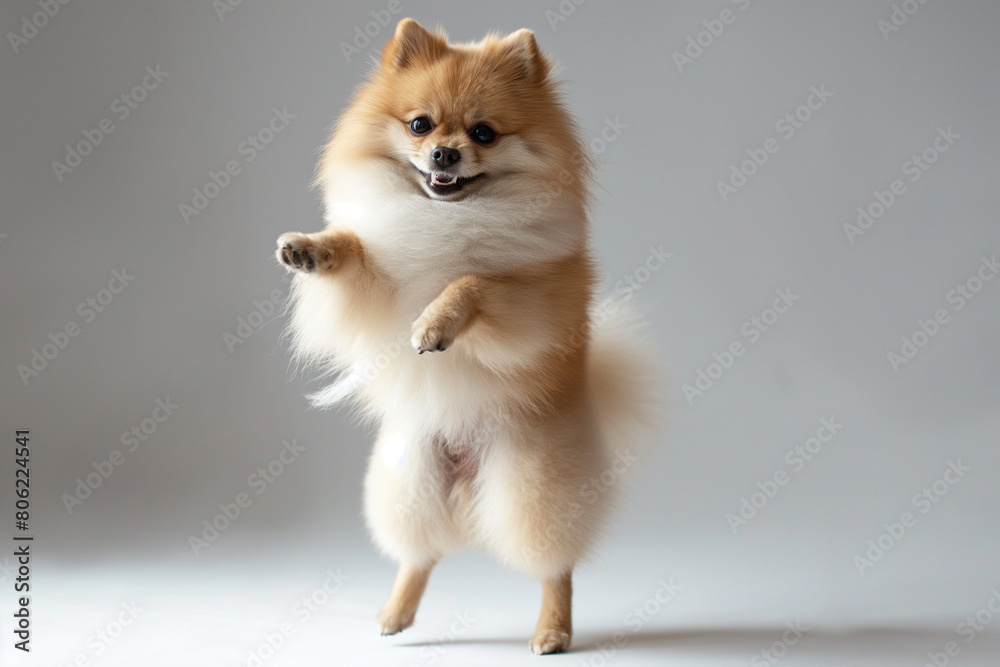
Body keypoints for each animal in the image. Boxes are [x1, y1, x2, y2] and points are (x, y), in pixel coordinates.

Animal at [278, 18, 656, 656]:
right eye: (420, 124)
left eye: (483, 132)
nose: (445, 153)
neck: (450, 213)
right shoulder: (379, 290)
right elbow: (353, 248)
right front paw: (312, 248)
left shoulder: (533, 305)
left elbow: (473, 280)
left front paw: (436, 323)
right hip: (408, 479)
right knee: (421, 555)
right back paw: (395, 614)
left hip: (533, 487)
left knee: (555, 566)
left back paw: (553, 630)